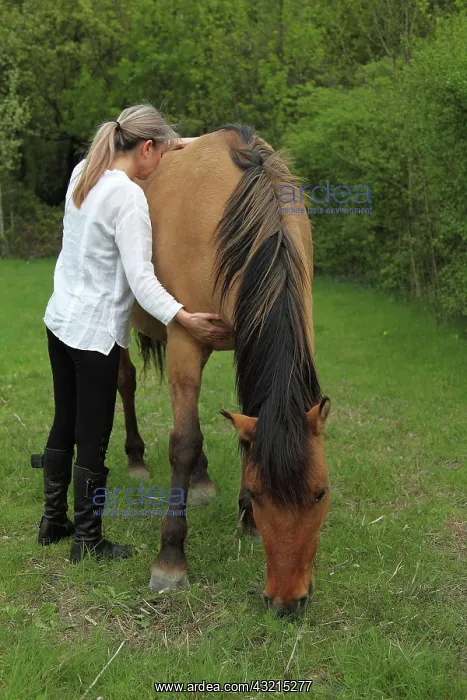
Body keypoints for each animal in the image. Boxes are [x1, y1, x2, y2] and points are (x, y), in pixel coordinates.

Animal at [117, 125, 331, 614]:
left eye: (320, 493)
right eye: (261, 493)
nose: (287, 601)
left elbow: (242, 427)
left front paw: (245, 520)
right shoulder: (184, 339)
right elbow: (183, 443)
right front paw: (170, 560)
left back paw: (200, 479)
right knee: (126, 382)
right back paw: (136, 458)